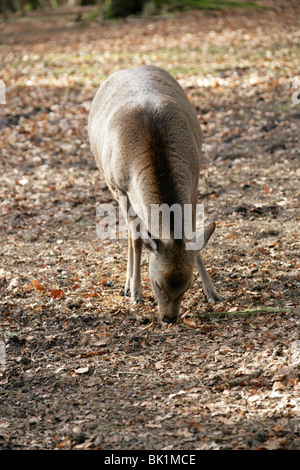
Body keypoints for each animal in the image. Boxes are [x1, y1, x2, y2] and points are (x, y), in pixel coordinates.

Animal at [88, 65, 221, 324]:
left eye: (188, 285)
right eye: (158, 284)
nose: (169, 318)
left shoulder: (194, 184)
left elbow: (192, 235)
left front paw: (212, 292)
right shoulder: (121, 189)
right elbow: (137, 238)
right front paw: (135, 293)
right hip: (109, 183)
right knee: (132, 235)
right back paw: (128, 285)